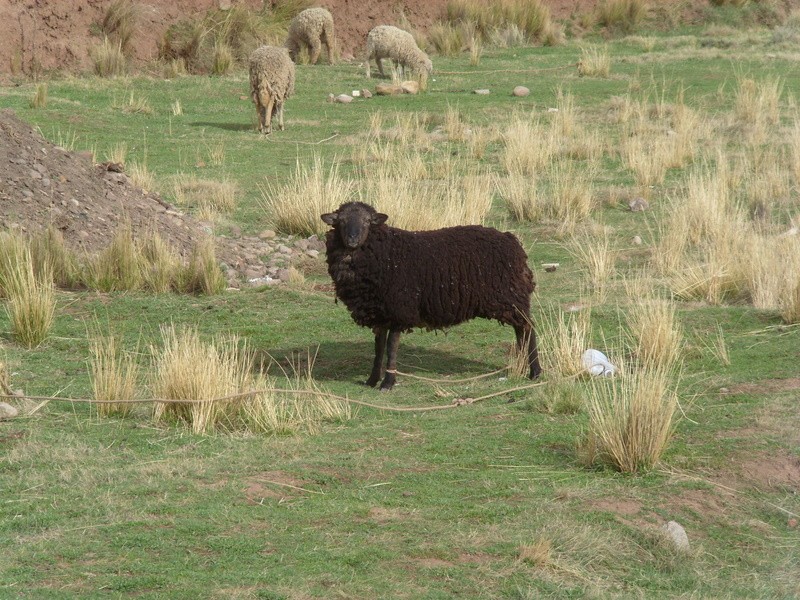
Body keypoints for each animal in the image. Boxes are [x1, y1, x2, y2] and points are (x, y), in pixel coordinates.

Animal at [321, 201, 542, 391]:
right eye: (341, 221)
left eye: (367, 221)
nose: (352, 240)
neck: (385, 253)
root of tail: (511, 240)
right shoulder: (379, 312)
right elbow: (379, 347)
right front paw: (372, 379)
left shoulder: (400, 308)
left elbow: (391, 347)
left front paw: (388, 382)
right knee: (521, 329)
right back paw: (522, 366)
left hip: (509, 296)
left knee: (527, 327)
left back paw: (535, 372)